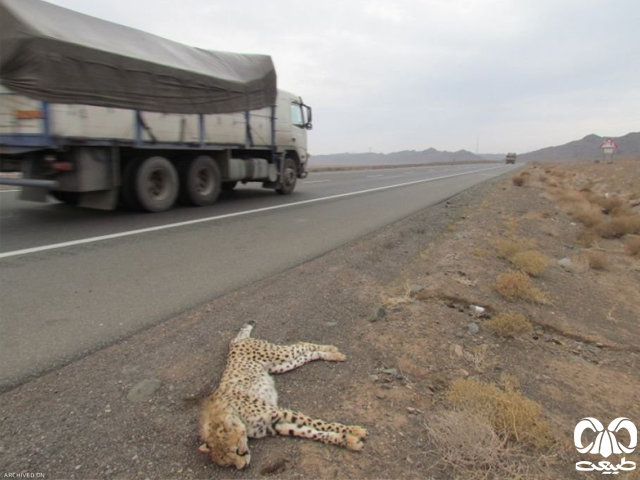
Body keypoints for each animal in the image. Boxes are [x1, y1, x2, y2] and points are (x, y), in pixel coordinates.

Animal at [198, 322, 368, 468]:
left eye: (235, 450)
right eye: (228, 463)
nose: (242, 466)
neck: (235, 416)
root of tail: (235, 343)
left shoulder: (280, 413)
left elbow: (318, 423)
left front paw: (354, 431)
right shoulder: (275, 425)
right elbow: (311, 432)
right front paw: (348, 441)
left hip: (279, 355)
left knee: (301, 345)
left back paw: (332, 350)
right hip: (280, 366)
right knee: (306, 355)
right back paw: (333, 355)